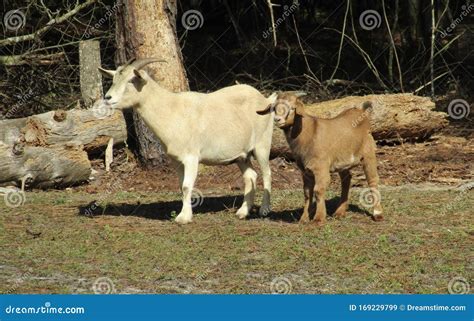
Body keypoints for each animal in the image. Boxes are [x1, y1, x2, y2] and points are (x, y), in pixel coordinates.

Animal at [98, 58, 276, 222]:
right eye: (114, 79)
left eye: (131, 80)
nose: (108, 98)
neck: (172, 110)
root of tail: (266, 100)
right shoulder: (176, 160)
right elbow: (181, 185)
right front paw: (185, 213)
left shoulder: (191, 157)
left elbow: (186, 186)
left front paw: (183, 217)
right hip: (241, 155)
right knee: (251, 176)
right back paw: (242, 212)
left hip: (262, 144)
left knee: (266, 173)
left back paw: (264, 210)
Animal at [258, 92, 384, 225]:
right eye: (274, 109)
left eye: (292, 108)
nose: (278, 120)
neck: (309, 134)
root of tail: (362, 111)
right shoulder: (305, 171)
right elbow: (307, 193)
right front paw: (303, 219)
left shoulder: (321, 167)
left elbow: (318, 190)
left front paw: (318, 219)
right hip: (343, 160)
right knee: (346, 179)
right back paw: (340, 212)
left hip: (368, 152)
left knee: (372, 179)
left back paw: (378, 214)